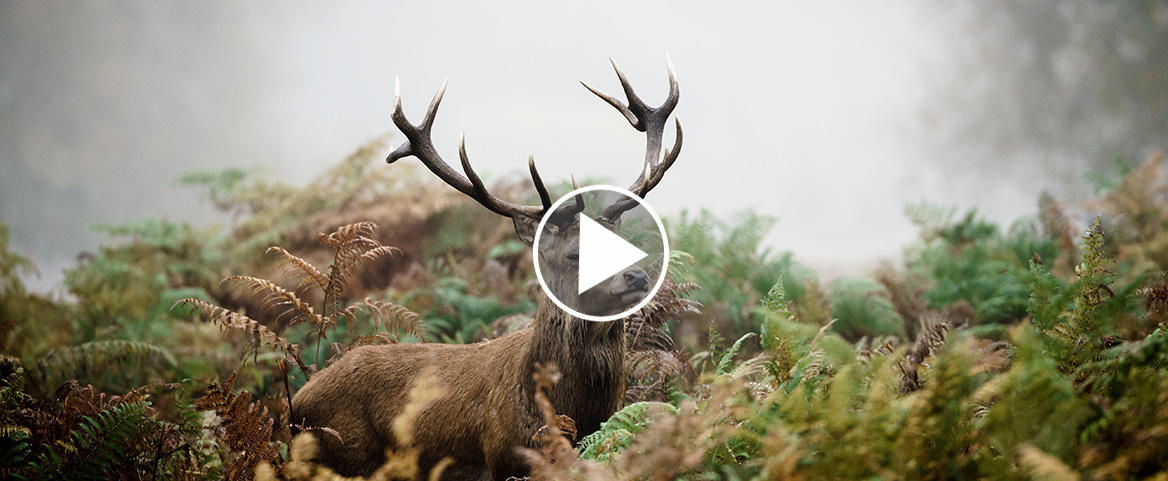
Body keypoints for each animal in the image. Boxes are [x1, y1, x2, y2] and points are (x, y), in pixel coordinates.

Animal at [291, 56, 682, 480]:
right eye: (575, 255)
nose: (637, 276)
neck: (574, 413)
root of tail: (296, 402)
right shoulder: (502, 459)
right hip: (346, 456)